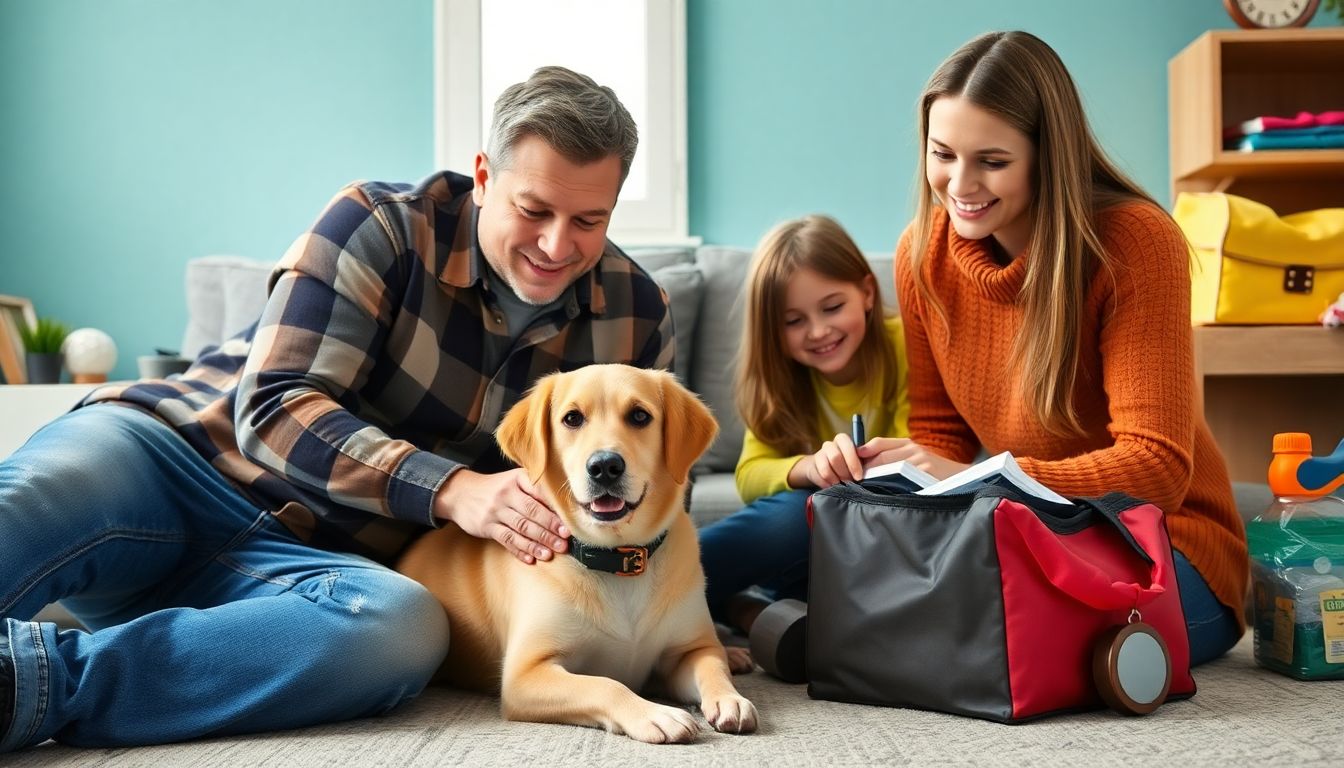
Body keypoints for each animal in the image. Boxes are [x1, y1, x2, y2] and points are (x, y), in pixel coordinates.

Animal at [395, 365, 758, 747]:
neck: (617, 560)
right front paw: (655, 714)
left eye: (640, 416)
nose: (605, 466)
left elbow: (712, 666)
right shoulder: (526, 674)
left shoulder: (688, 651)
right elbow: (605, 685)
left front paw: (730, 698)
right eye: (572, 418)